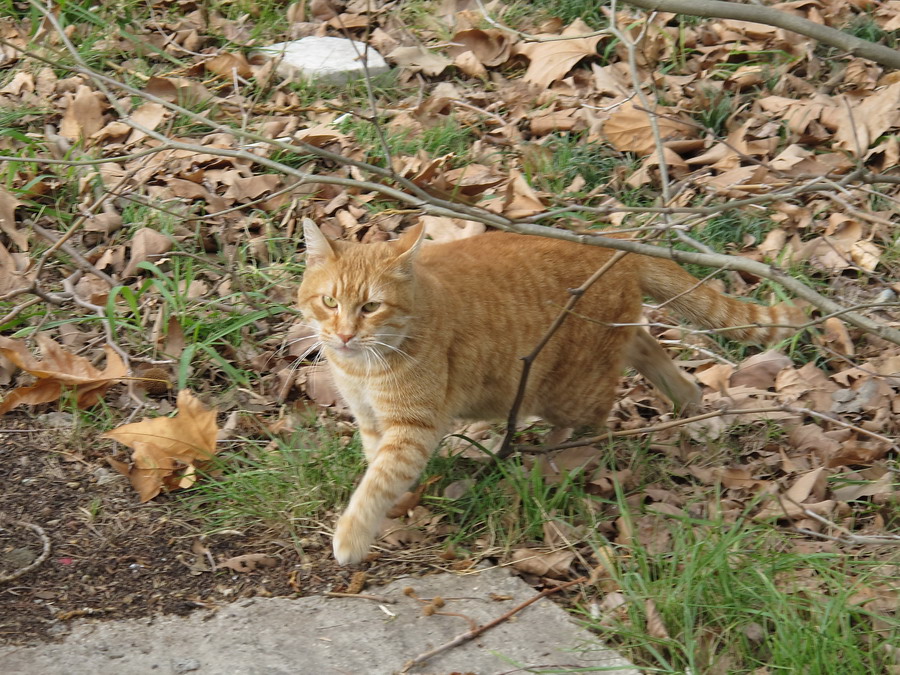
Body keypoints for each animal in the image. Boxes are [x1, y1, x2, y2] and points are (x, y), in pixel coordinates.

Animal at [298, 219, 808, 564]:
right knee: (646, 347)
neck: (360, 367)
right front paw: (398, 510)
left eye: (371, 307)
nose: (344, 335)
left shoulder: (411, 427)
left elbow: (378, 481)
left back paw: (548, 460)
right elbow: (376, 467)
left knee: (596, 416)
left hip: (566, 391)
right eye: (329, 302)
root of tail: (611, 244)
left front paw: (351, 537)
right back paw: (689, 401)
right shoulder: (371, 420)